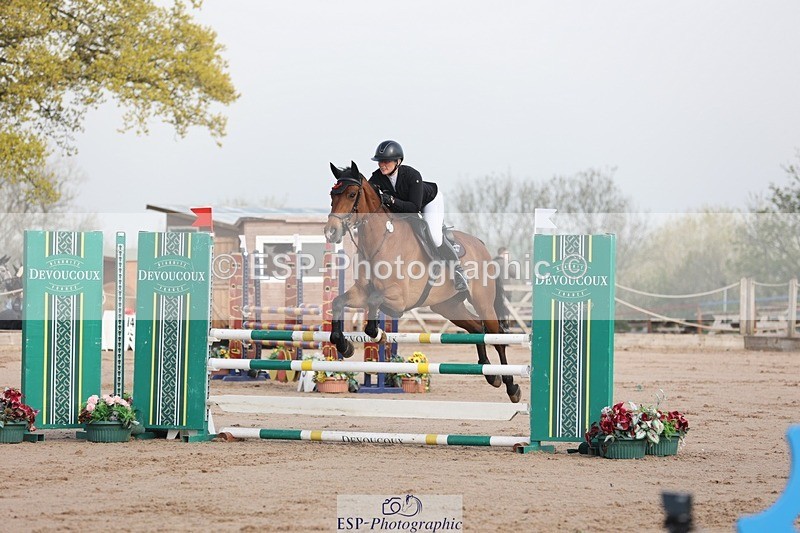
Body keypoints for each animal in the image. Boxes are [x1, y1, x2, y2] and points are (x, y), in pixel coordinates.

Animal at [323, 161, 521, 403]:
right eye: (332, 194)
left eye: (351, 194)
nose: (331, 232)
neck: (380, 241)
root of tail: (481, 245)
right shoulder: (360, 292)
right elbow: (338, 303)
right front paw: (345, 346)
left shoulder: (399, 298)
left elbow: (374, 304)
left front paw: (378, 334)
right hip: (448, 306)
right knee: (477, 328)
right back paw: (490, 373)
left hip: (483, 302)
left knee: (496, 336)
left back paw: (511, 385)